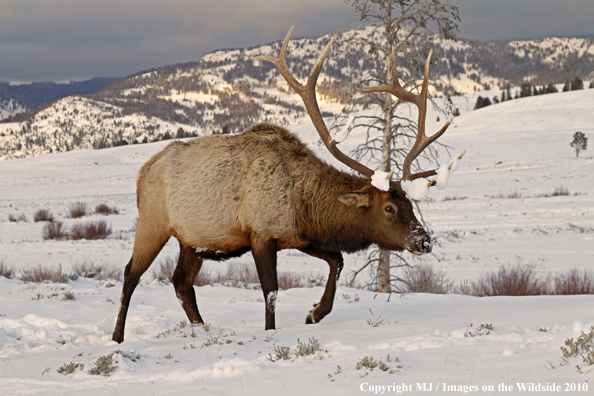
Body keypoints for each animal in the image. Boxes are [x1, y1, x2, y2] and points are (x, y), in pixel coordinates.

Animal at [112, 27, 462, 344]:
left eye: (411, 204)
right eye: (389, 208)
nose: (424, 241)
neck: (304, 203)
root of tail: (142, 172)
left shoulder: (300, 236)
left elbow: (337, 260)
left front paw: (315, 313)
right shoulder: (260, 234)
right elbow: (271, 290)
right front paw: (271, 332)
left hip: (193, 240)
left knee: (181, 283)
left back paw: (202, 330)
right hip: (153, 223)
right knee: (130, 274)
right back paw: (117, 337)